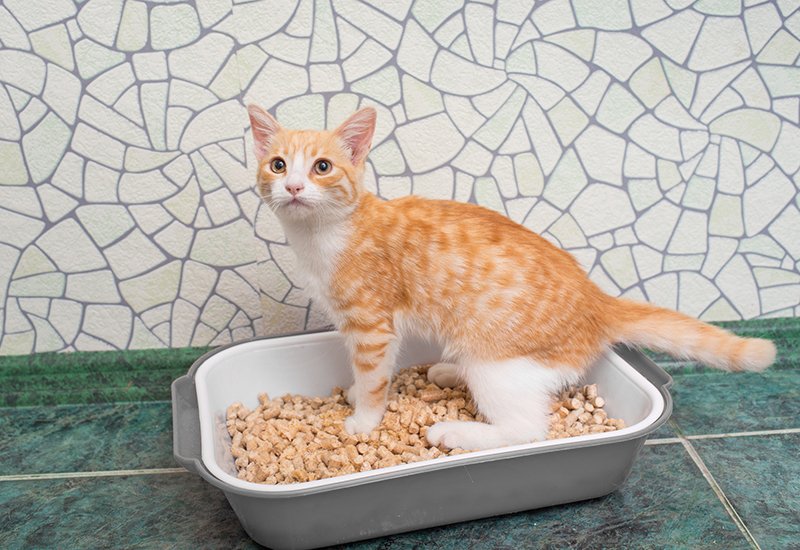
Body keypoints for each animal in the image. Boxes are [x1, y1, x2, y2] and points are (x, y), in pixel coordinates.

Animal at [248, 103, 776, 452]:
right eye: (278, 165)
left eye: (322, 167)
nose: (293, 187)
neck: (322, 236)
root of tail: (597, 299)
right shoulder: (367, 327)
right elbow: (367, 372)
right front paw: (357, 396)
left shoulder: (372, 326)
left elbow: (374, 376)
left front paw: (364, 417)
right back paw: (446, 371)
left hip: (496, 363)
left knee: (526, 429)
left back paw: (457, 431)